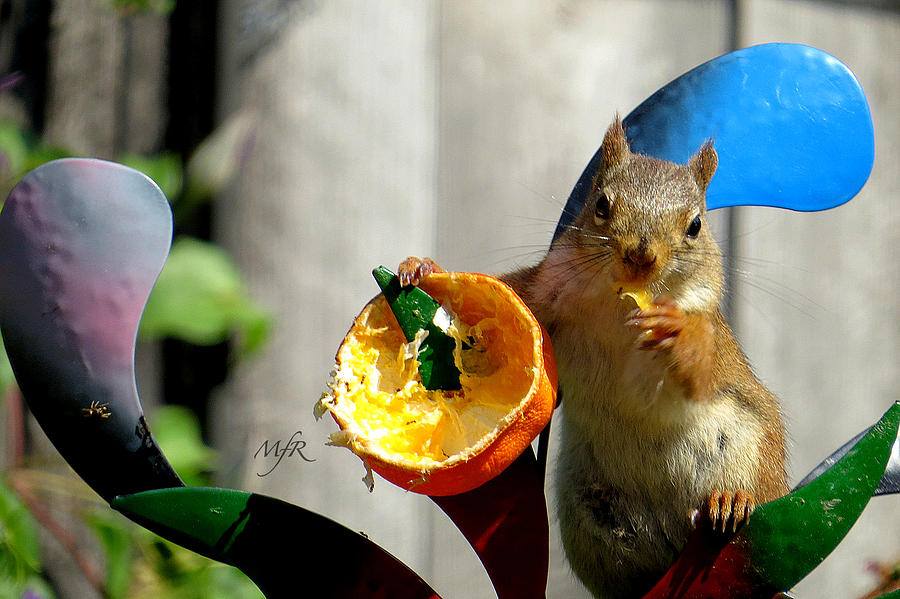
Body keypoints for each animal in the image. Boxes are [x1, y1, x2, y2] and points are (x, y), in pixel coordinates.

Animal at [400, 115, 788, 596]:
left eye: (696, 225)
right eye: (601, 204)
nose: (640, 255)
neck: (617, 305)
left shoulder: (715, 344)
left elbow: (700, 372)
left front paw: (675, 330)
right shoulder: (542, 297)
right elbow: (506, 296)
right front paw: (424, 269)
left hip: (755, 453)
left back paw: (732, 499)